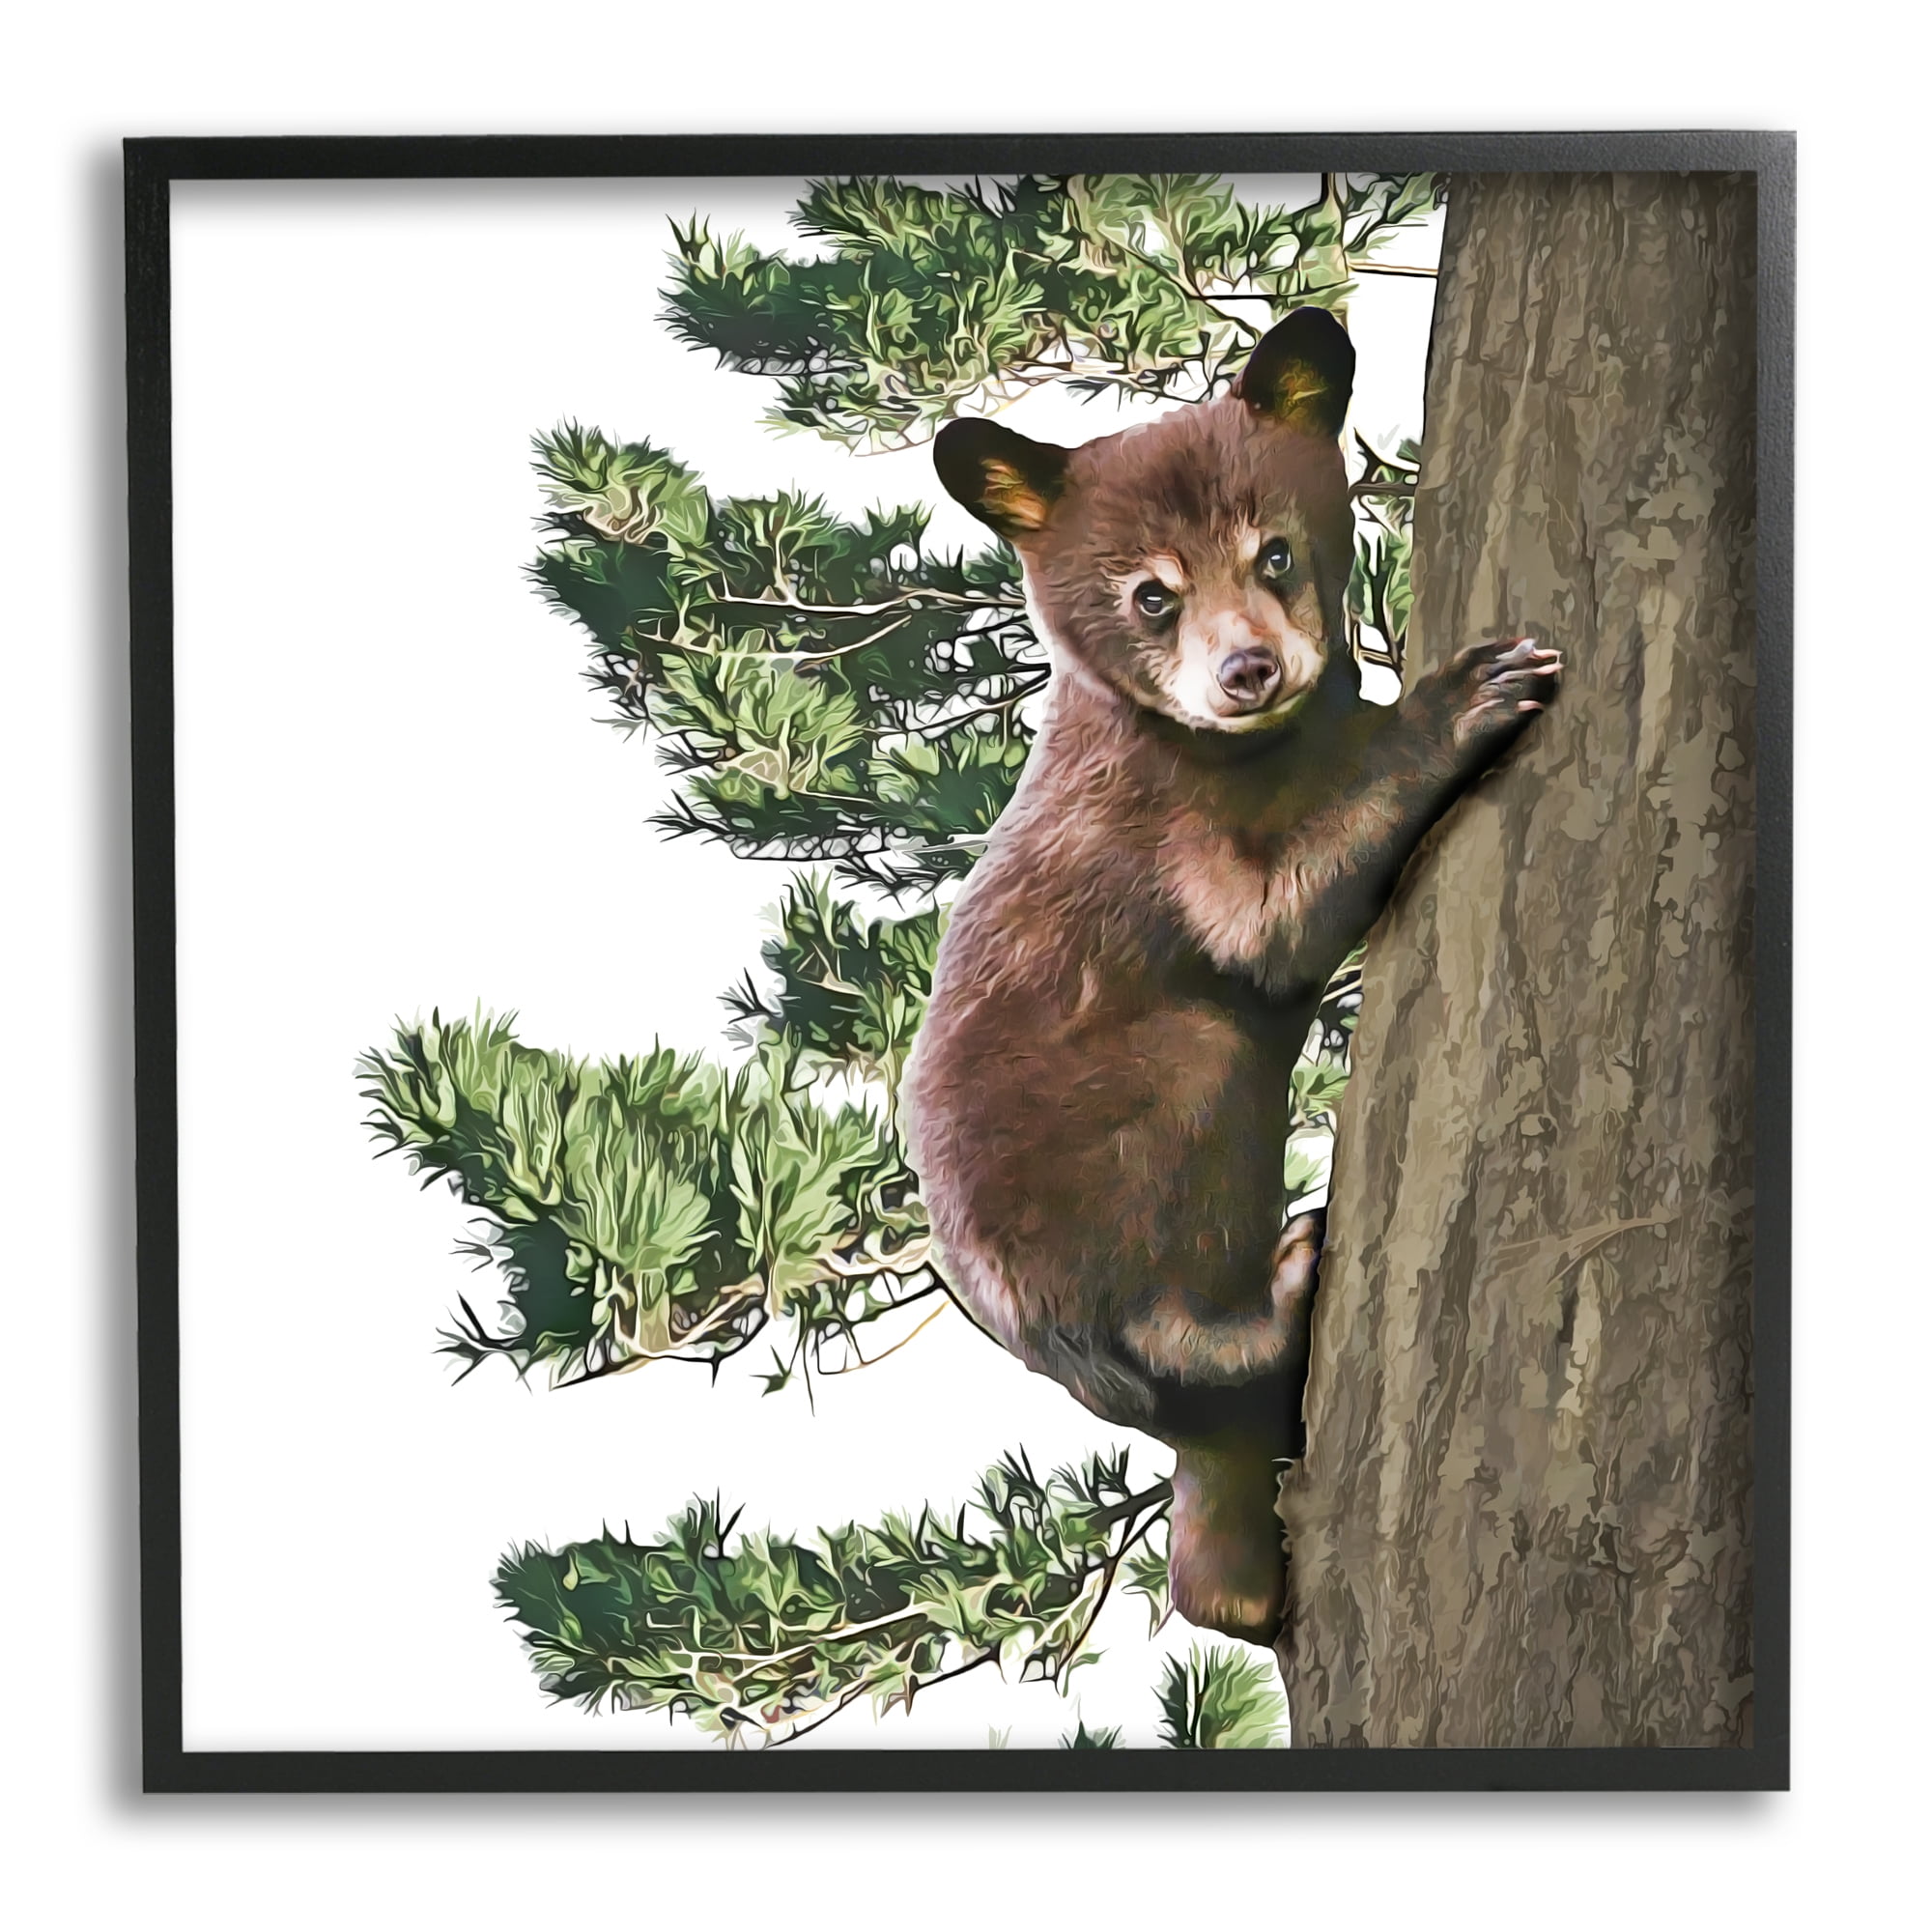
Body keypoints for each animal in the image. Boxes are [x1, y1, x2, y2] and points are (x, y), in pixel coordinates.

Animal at [901, 308, 1559, 1646]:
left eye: (1275, 553)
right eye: (1149, 595)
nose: (1246, 670)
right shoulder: (1156, 824)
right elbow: (1268, 921)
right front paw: (1464, 695)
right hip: (1108, 1166)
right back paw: (1281, 1291)